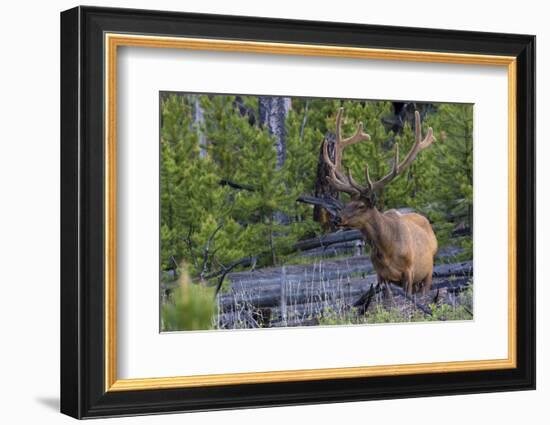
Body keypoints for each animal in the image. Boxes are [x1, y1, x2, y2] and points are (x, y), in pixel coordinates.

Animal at [324, 107, 440, 294]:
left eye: (361, 205)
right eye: (347, 203)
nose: (336, 218)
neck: (386, 250)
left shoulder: (409, 272)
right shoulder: (381, 276)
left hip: (427, 272)